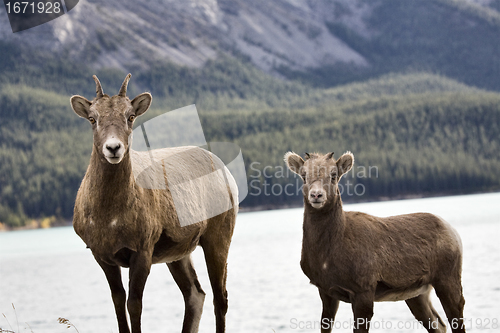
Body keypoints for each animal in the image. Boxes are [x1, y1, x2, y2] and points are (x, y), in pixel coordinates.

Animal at [70, 74, 238, 332]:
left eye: (130, 116)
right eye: (92, 118)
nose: (113, 148)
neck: (110, 216)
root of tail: (225, 171)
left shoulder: (142, 253)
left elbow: (134, 305)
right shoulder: (103, 257)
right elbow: (118, 305)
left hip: (217, 239)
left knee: (220, 299)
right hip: (179, 255)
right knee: (195, 294)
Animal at [286, 152, 464, 332]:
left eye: (334, 175)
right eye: (303, 175)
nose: (316, 195)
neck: (326, 257)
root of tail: (454, 233)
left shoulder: (363, 290)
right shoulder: (326, 291)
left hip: (447, 279)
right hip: (417, 293)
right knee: (438, 324)